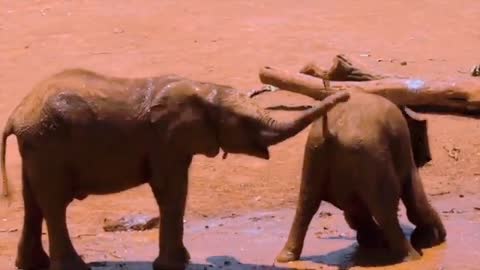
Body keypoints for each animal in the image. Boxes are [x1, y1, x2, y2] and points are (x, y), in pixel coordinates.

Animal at [0, 69, 348, 270]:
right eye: (244, 122)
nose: (343, 94)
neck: (205, 89)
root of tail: (16, 114)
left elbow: (174, 191)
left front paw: (183, 261)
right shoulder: (164, 141)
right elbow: (171, 190)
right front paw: (173, 265)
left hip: (38, 147)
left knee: (34, 204)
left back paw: (32, 265)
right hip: (48, 143)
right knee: (54, 204)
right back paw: (75, 267)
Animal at [274, 92, 446, 264]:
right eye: (420, 138)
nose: (428, 158)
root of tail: (331, 130)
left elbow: (354, 209)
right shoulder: (402, 146)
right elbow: (415, 198)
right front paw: (434, 238)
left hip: (315, 151)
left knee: (306, 204)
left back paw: (285, 258)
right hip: (369, 152)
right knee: (385, 209)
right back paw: (411, 257)